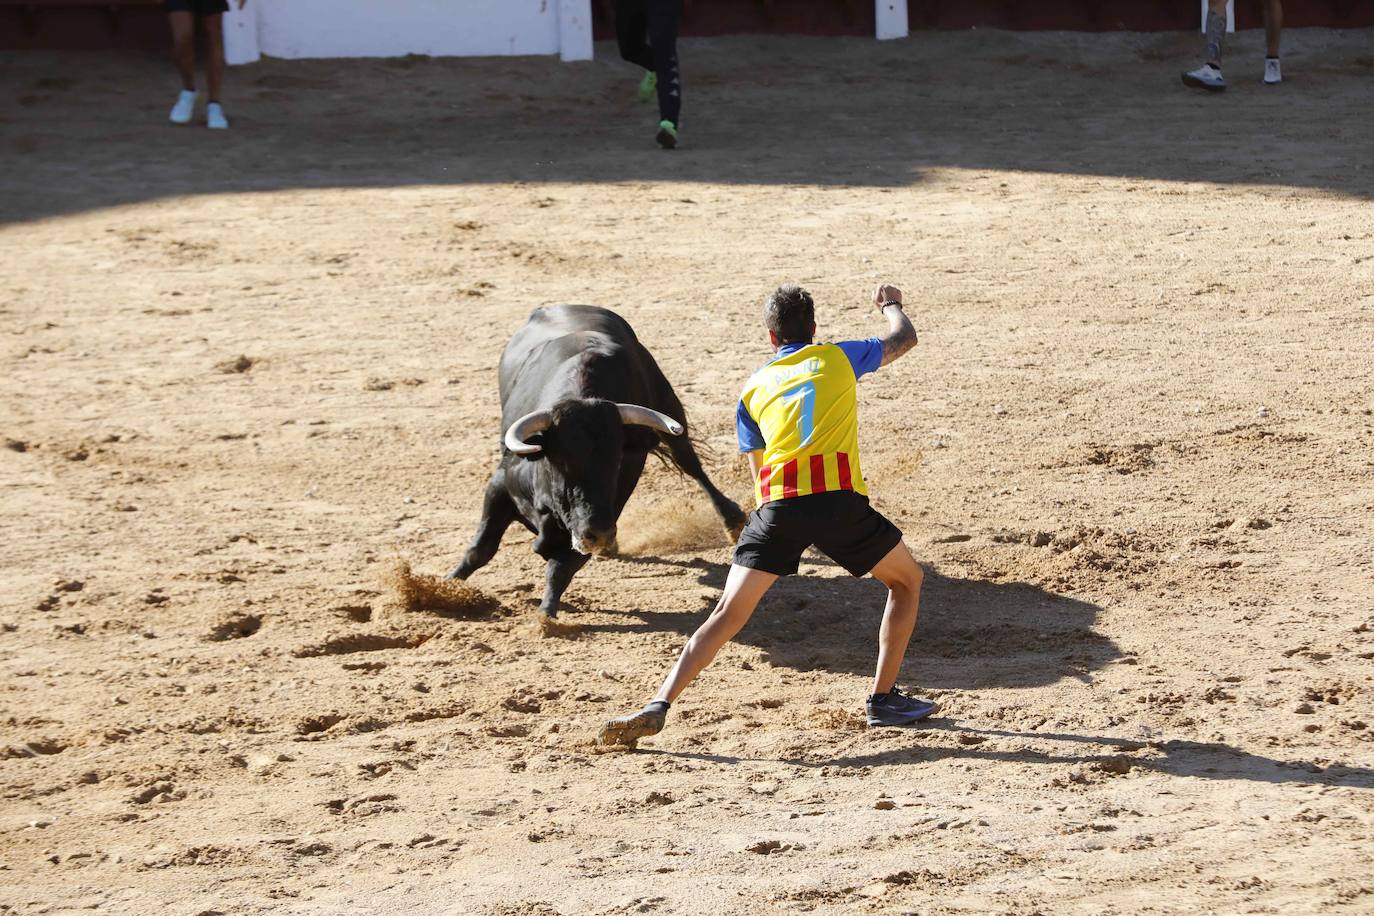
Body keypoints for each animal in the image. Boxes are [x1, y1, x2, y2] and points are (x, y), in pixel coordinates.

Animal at [447, 306, 747, 615]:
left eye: (616, 462)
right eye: (560, 461)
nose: (599, 535)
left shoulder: (602, 516)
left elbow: (561, 566)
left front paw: (546, 614)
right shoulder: (500, 486)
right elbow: (480, 549)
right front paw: (447, 587)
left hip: (670, 408)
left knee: (689, 461)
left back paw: (732, 520)